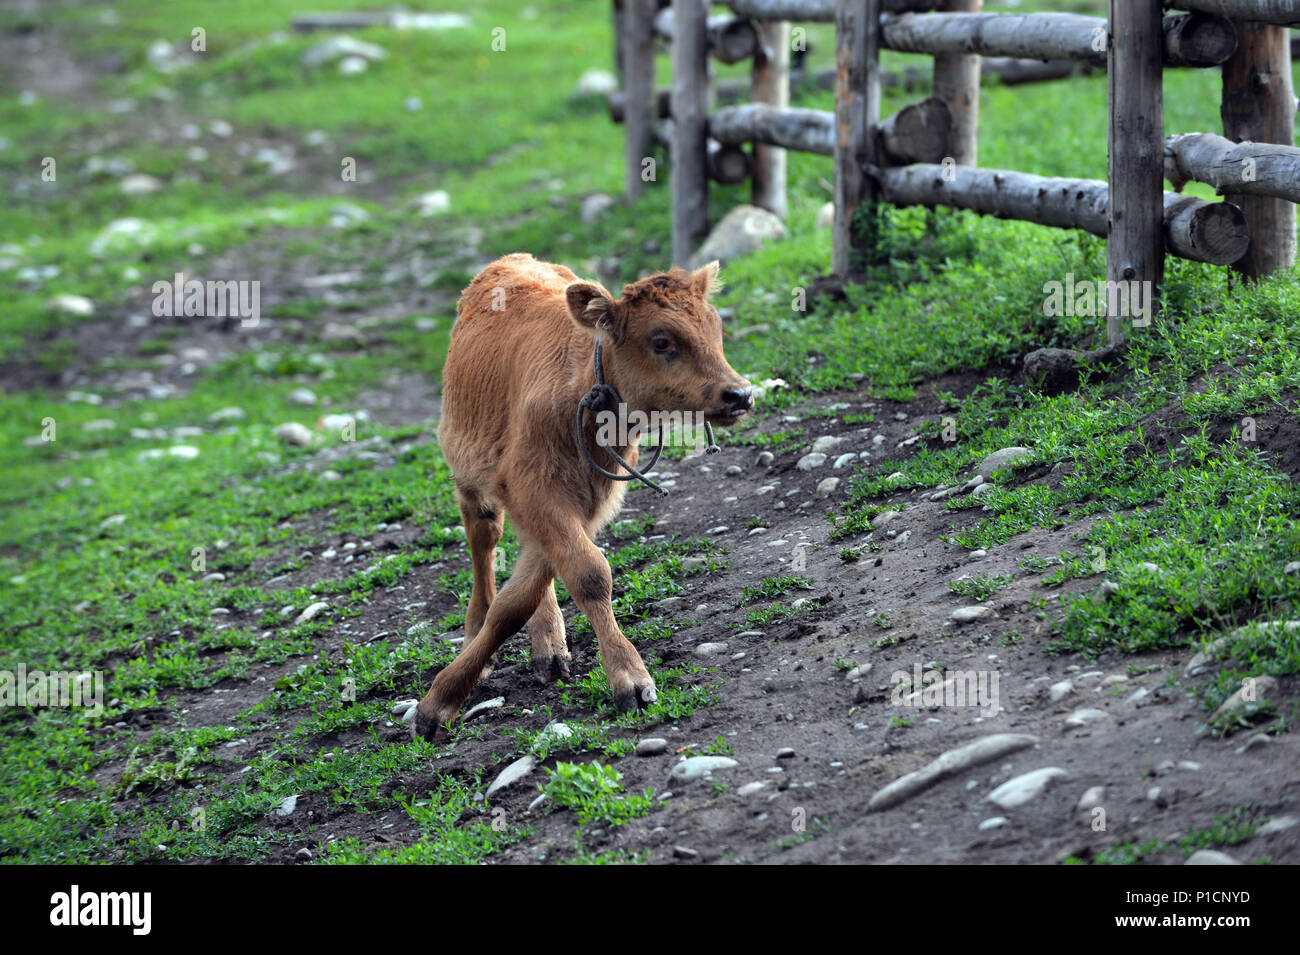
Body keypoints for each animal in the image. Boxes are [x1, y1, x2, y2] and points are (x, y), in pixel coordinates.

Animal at [416, 252, 754, 738]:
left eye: (715, 327)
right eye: (662, 341)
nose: (739, 394)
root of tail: (513, 260)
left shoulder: (583, 501)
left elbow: (525, 595)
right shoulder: (537, 493)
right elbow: (586, 575)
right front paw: (631, 679)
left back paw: (548, 647)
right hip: (469, 476)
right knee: (483, 541)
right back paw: (476, 625)